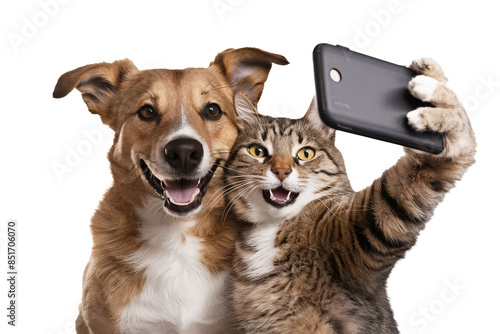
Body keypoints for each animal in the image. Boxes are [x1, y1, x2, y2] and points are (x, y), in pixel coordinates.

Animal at [223, 58, 476, 332]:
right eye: (257, 151)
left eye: (305, 153)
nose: (281, 170)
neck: (275, 227)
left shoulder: (370, 228)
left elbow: (402, 188)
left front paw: (435, 98)